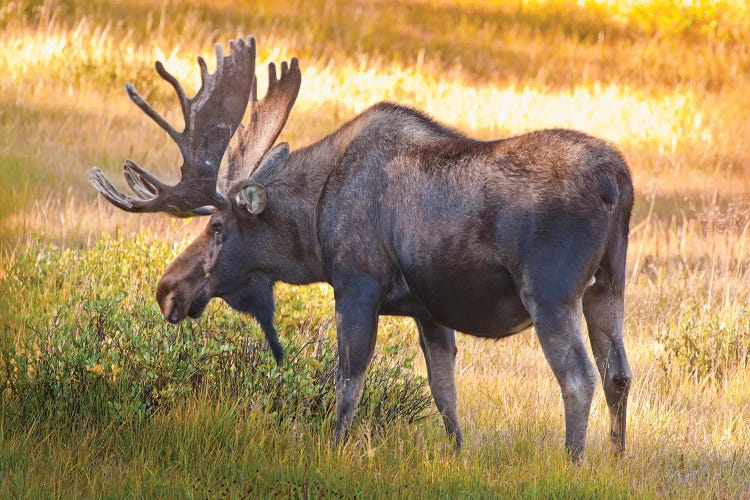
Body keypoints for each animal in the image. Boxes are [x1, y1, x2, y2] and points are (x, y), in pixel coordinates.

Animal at [89, 37, 636, 460]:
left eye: (219, 226)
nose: (167, 289)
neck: (313, 226)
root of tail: (618, 181)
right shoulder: (428, 310)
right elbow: (445, 393)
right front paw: (458, 453)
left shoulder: (357, 283)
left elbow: (347, 383)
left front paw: (333, 449)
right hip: (608, 284)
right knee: (619, 373)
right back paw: (615, 458)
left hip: (549, 292)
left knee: (579, 377)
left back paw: (573, 461)